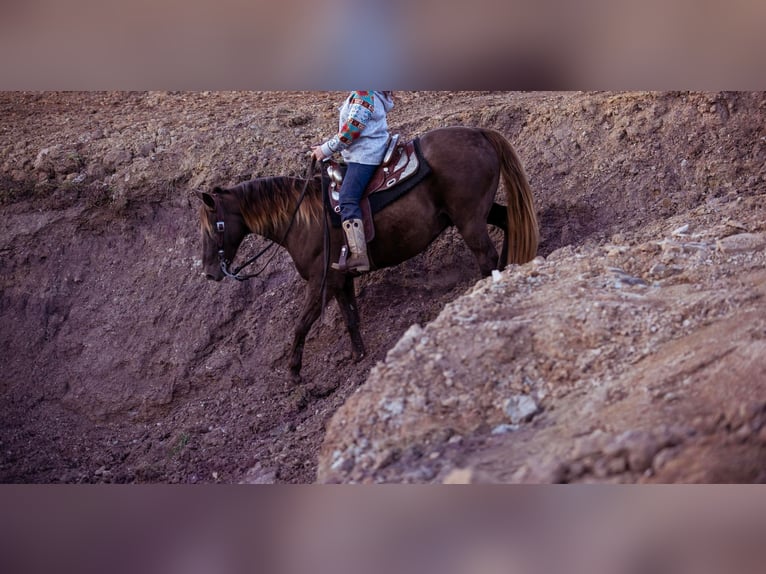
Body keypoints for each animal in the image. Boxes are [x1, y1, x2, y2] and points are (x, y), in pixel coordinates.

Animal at [198, 128, 540, 384]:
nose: (210, 272)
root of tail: (479, 132)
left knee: (485, 256)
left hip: (468, 220)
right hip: (479, 213)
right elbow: (350, 316)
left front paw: (294, 373)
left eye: (214, 227)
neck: (302, 219)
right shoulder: (340, 279)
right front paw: (358, 354)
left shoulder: (320, 282)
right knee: (508, 222)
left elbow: (301, 324)